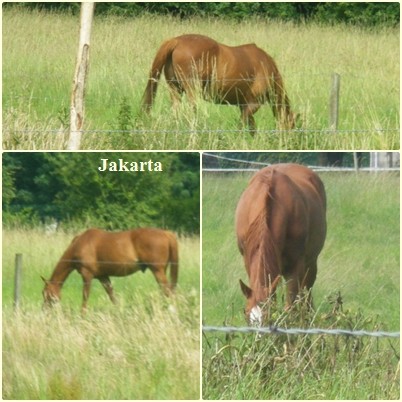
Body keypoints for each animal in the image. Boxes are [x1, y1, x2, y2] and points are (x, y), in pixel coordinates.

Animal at [41, 228, 178, 310]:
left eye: (45, 293)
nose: (45, 310)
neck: (80, 244)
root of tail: (166, 233)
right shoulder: (103, 276)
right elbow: (112, 296)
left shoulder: (87, 275)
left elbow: (85, 296)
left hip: (158, 272)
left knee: (168, 292)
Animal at [141, 33, 296, 130]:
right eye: (292, 126)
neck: (266, 66)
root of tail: (176, 41)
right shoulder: (253, 105)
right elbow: (242, 125)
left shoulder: (244, 106)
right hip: (191, 90)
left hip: (175, 90)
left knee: (176, 110)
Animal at [236, 163, 326, 324]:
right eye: (246, 314)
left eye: (269, 316)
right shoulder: (248, 260)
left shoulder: (295, 266)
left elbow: (290, 308)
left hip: (310, 263)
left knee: (306, 293)